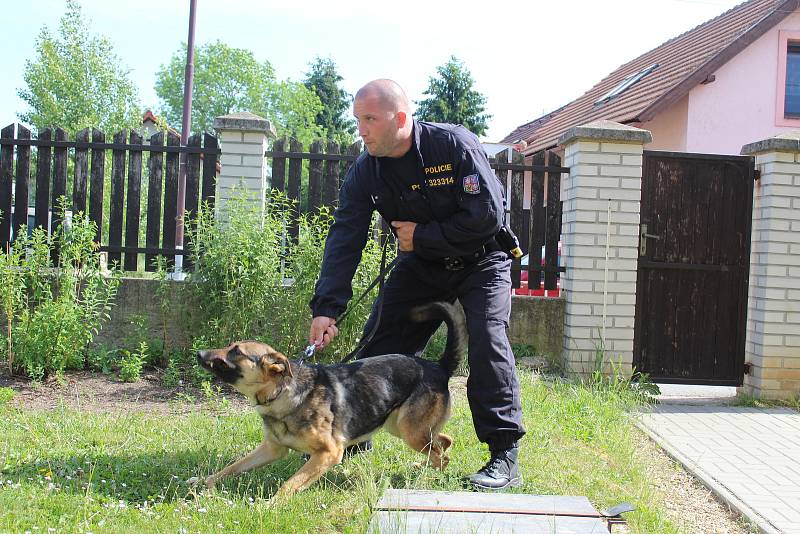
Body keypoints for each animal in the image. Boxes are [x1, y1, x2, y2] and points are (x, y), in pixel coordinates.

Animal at [196, 306, 466, 502]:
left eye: (236, 351)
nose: (199, 353)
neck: (285, 394)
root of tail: (438, 367)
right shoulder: (271, 449)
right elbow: (230, 468)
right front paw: (202, 484)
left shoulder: (329, 453)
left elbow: (290, 484)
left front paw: (270, 506)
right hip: (402, 427)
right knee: (444, 442)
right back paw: (422, 466)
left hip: (409, 432)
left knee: (442, 457)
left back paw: (428, 478)